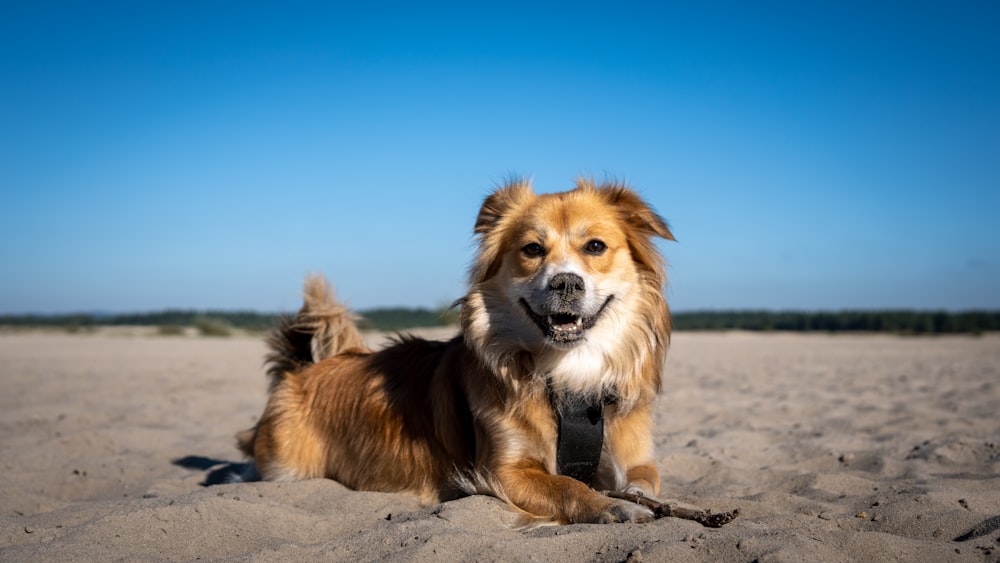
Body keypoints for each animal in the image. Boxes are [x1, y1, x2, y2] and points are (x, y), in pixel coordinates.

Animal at [235, 180, 676, 524]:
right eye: (532, 250)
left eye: (596, 246)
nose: (565, 282)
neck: (568, 371)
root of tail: (302, 370)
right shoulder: (503, 471)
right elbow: (564, 484)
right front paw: (608, 506)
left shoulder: (633, 454)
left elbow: (644, 480)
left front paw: (635, 499)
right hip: (286, 468)